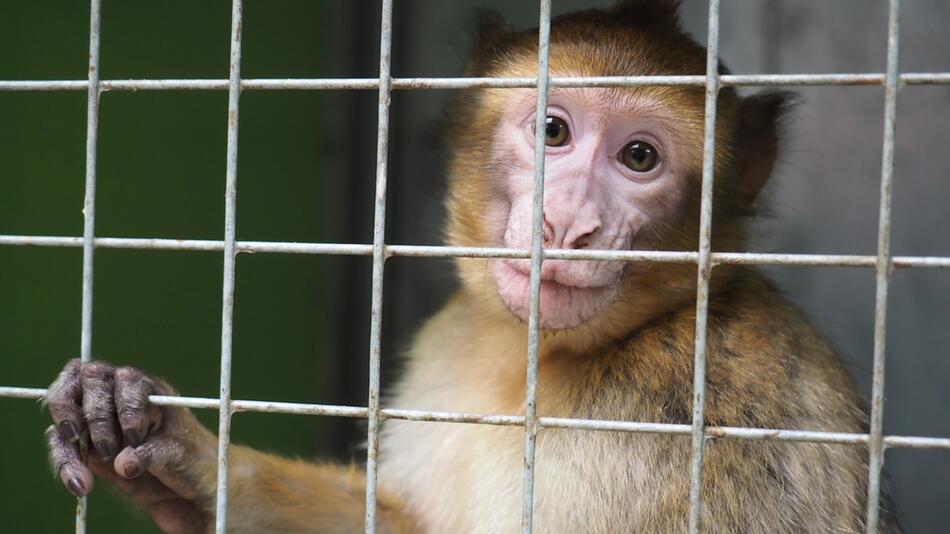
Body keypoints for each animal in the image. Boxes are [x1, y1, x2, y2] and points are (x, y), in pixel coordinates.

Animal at [39, 2, 900, 532]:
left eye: (639, 158)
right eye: (552, 131)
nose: (567, 224)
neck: (539, 363)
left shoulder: (730, 405)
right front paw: (178, 458)